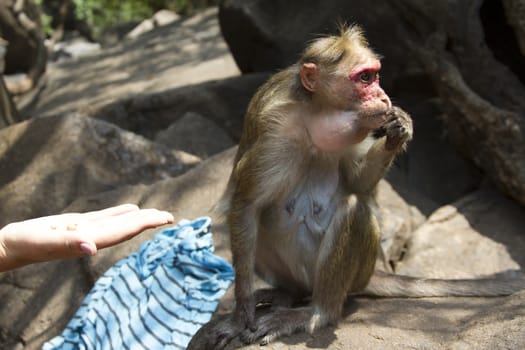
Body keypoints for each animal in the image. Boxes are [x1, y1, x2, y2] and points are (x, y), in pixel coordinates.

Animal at [188, 25, 524, 350]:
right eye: (364, 78)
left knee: (351, 209)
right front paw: (240, 314)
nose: (384, 96)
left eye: (374, 75)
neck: (315, 115)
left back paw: (318, 311)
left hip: (355, 274)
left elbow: (358, 183)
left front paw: (400, 130)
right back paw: (287, 293)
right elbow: (247, 204)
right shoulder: (274, 130)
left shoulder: (358, 130)